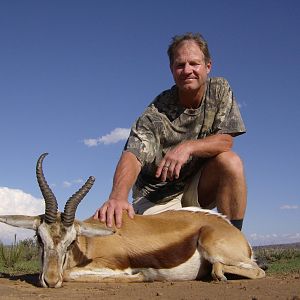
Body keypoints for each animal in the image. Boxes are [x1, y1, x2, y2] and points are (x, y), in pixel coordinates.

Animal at [0, 154, 264, 288]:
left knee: (257, 271)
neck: (89, 245)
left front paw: (143, 275)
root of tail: (234, 232)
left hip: (213, 247)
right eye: (39, 238)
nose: (51, 280)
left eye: (71, 241)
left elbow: (71, 274)